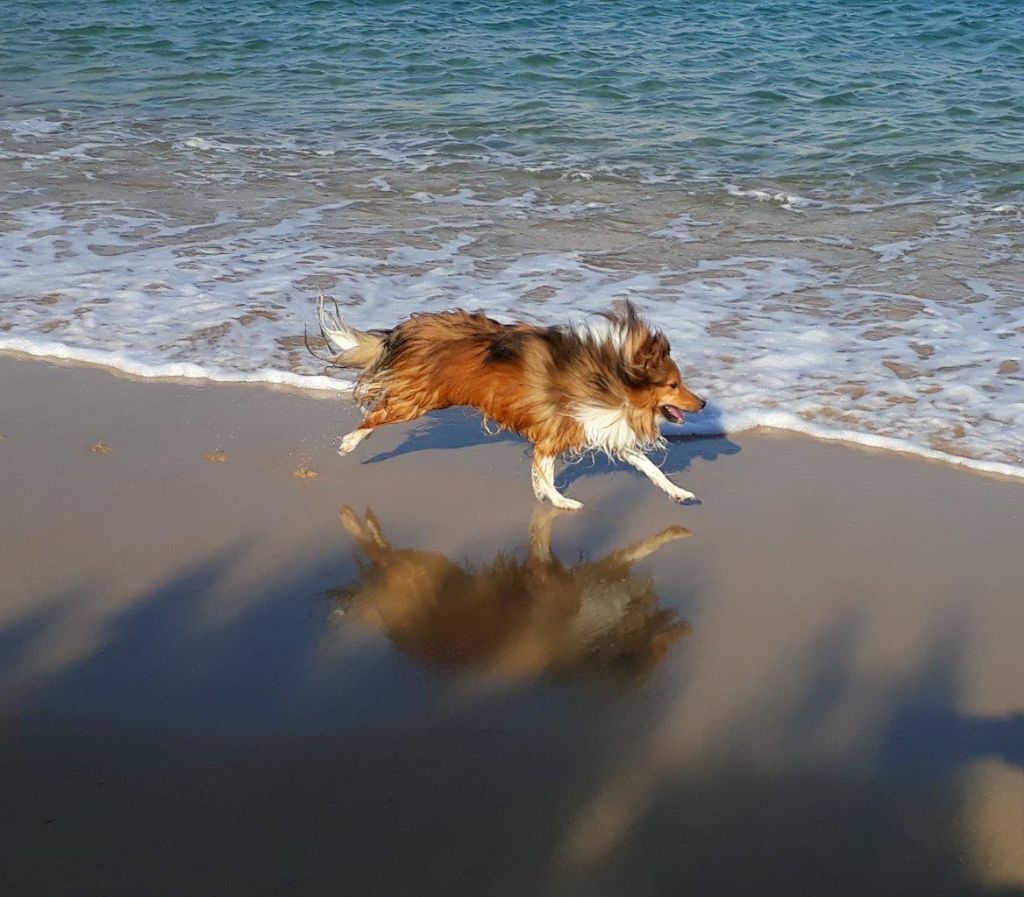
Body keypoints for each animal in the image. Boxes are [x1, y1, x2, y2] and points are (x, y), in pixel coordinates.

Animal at [315, 292, 708, 503]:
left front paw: (679, 493)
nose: (703, 404)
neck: (611, 380)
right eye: (674, 384)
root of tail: (410, 330)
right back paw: (348, 444)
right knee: (375, 415)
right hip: (417, 399)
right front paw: (563, 503)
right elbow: (546, 475)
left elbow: (650, 467)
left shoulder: (600, 428)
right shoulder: (556, 433)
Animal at [331, 507, 692, 684]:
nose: (683, 626)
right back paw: (352, 520)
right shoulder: (566, 590)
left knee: (380, 558)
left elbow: (638, 548)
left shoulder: (595, 578)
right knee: (377, 555)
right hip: (421, 570)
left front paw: (673, 529)